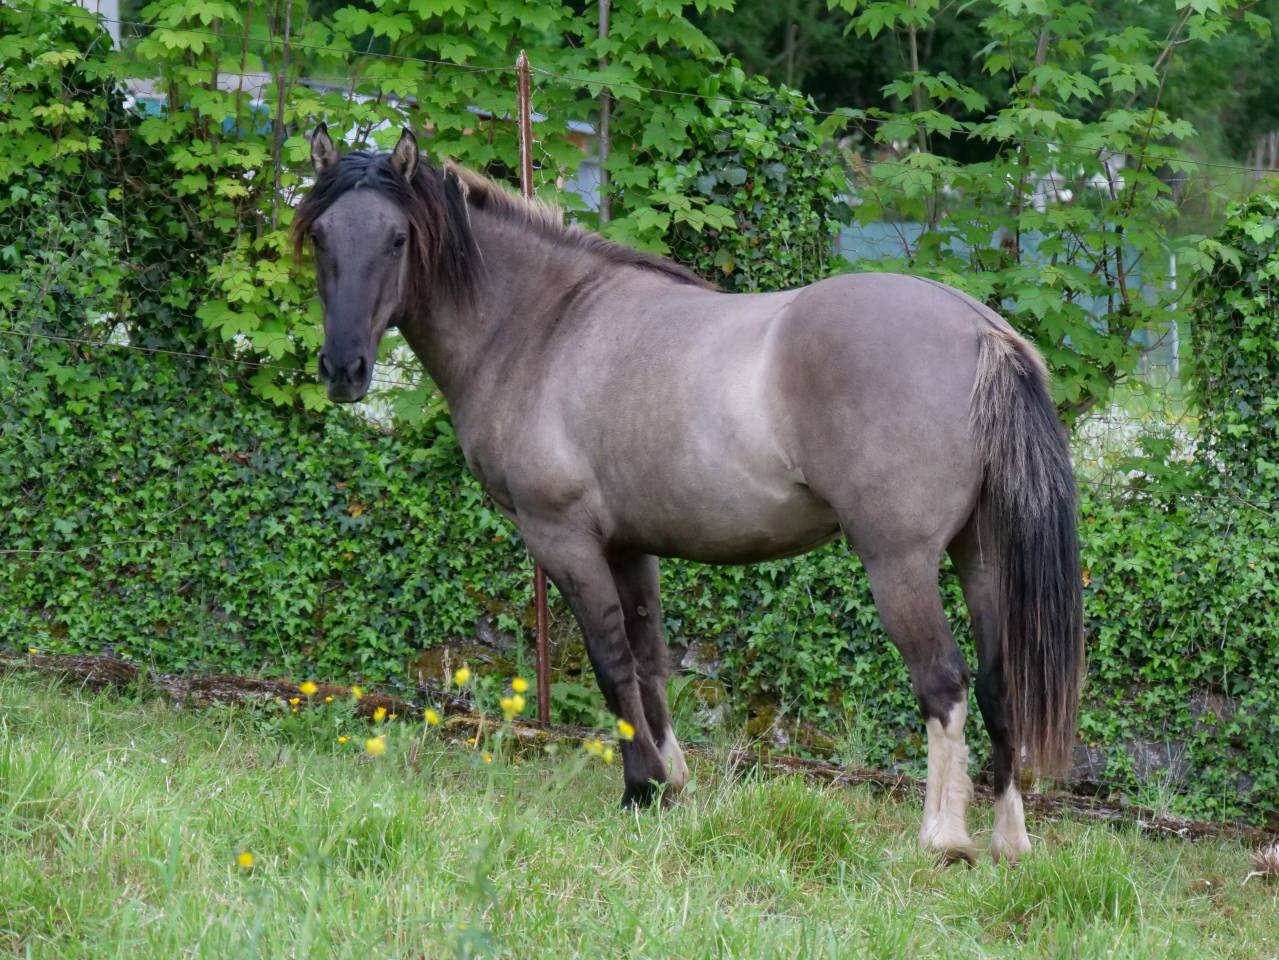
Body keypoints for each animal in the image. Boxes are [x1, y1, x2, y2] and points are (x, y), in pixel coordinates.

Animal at [292, 125, 1083, 865]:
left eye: (398, 238)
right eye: (321, 236)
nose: (343, 370)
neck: (541, 325)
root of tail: (979, 331)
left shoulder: (563, 538)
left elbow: (610, 661)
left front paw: (639, 787)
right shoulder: (629, 546)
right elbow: (650, 663)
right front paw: (675, 787)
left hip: (900, 563)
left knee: (942, 683)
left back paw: (943, 837)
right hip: (979, 556)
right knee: (998, 684)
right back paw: (1009, 841)